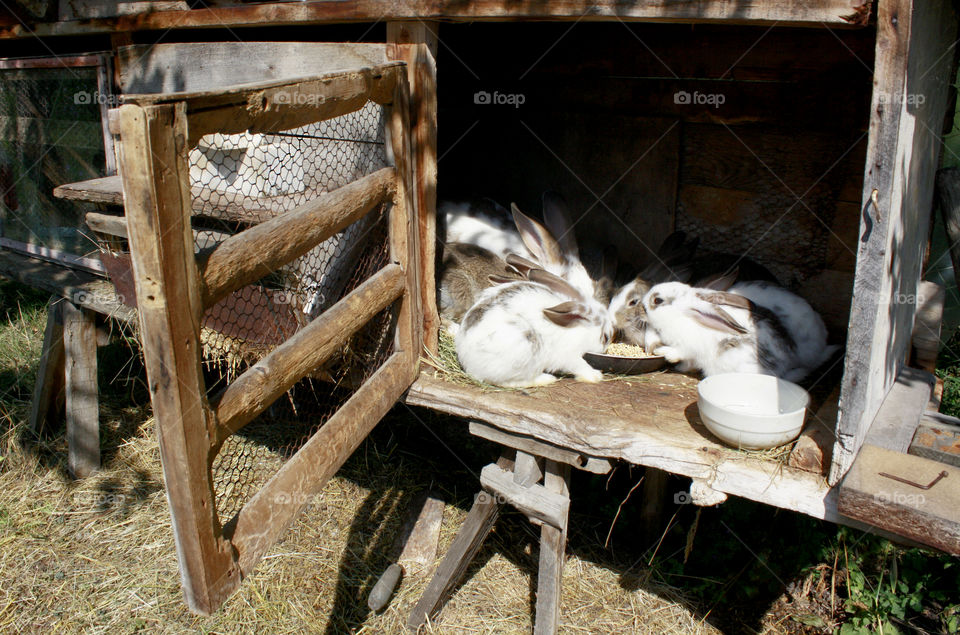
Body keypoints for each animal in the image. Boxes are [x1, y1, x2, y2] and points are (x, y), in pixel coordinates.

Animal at [456, 268, 613, 388]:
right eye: (605, 337)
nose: (605, 350)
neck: (576, 327)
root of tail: (468, 361)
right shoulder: (569, 356)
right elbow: (581, 365)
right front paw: (596, 376)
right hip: (524, 349)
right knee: (509, 382)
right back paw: (547, 379)